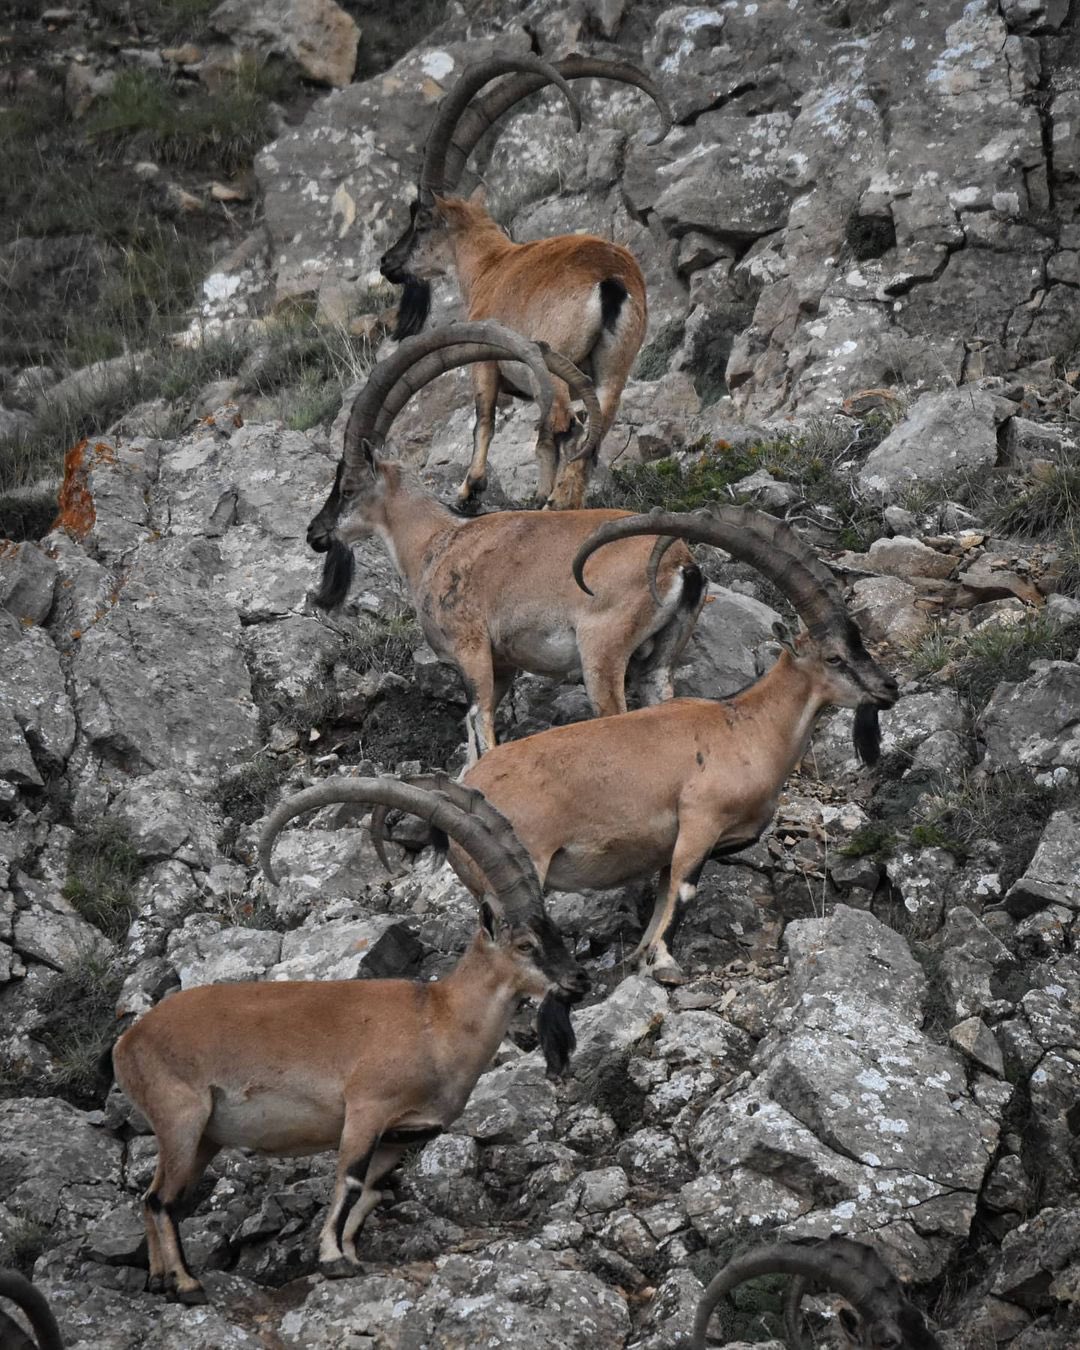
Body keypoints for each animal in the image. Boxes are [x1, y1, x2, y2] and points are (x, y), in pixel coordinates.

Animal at [114, 777, 585, 1301]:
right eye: (524, 944)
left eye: (556, 933)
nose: (579, 981)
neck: (436, 1020)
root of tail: (127, 1042)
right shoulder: (365, 1110)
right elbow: (351, 1181)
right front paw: (333, 1259)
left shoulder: (400, 1136)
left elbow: (373, 1193)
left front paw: (352, 1256)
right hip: (181, 1117)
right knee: (161, 1199)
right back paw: (186, 1282)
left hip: (203, 1139)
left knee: (153, 1197)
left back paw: (158, 1279)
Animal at [307, 315, 702, 761]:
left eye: (347, 488)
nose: (315, 533)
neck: (436, 543)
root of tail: (682, 565)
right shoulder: (505, 665)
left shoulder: (473, 650)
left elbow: (480, 726)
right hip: (657, 662)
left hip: (602, 651)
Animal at [375, 51, 669, 507]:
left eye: (421, 222)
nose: (388, 262)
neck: (489, 265)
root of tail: (610, 282)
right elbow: (541, 439)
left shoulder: (485, 361)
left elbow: (484, 421)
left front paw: (468, 490)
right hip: (613, 368)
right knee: (590, 432)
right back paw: (564, 500)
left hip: (556, 361)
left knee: (569, 426)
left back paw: (553, 501)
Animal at [399, 507, 896, 982]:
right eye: (834, 657)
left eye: (858, 644)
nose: (888, 688)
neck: (746, 725)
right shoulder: (699, 821)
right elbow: (683, 890)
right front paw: (665, 963)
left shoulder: (668, 847)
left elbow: (660, 897)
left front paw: (640, 958)